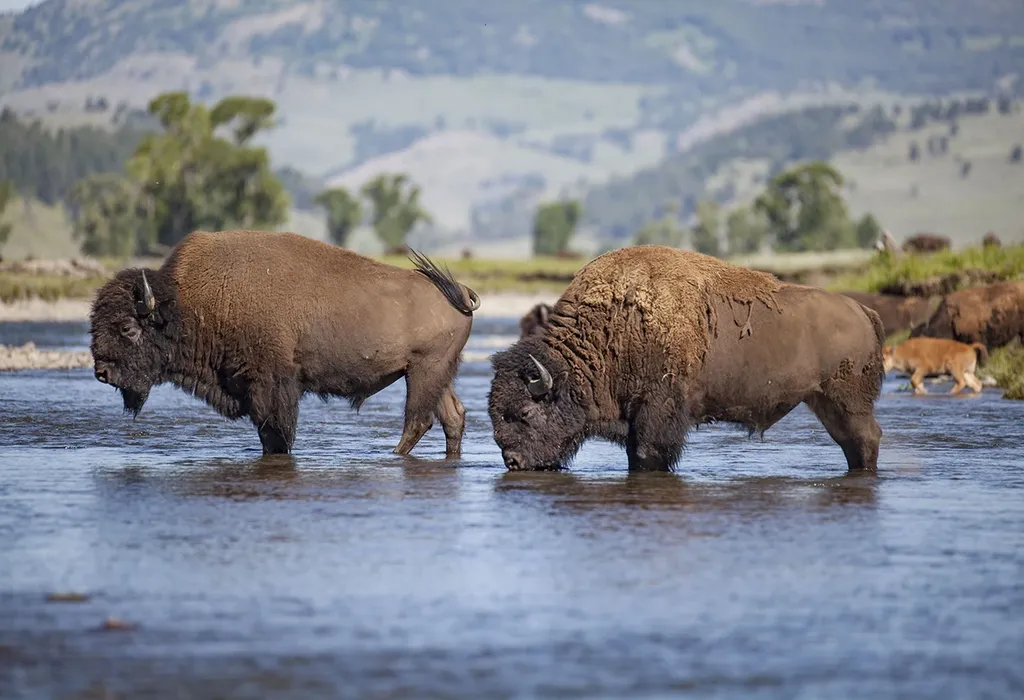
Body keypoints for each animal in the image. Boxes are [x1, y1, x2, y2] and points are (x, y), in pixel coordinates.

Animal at [88, 232, 479, 456]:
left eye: (127, 328)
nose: (102, 372)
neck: (186, 303)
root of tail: (458, 292)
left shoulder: (272, 386)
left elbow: (277, 434)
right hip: (431, 374)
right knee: (452, 417)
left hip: (425, 372)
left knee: (418, 421)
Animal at [487, 243, 888, 472]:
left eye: (524, 413)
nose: (513, 462)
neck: (613, 328)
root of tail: (862, 311)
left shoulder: (658, 411)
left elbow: (648, 454)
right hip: (824, 401)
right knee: (852, 442)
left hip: (848, 401)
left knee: (864, 439)